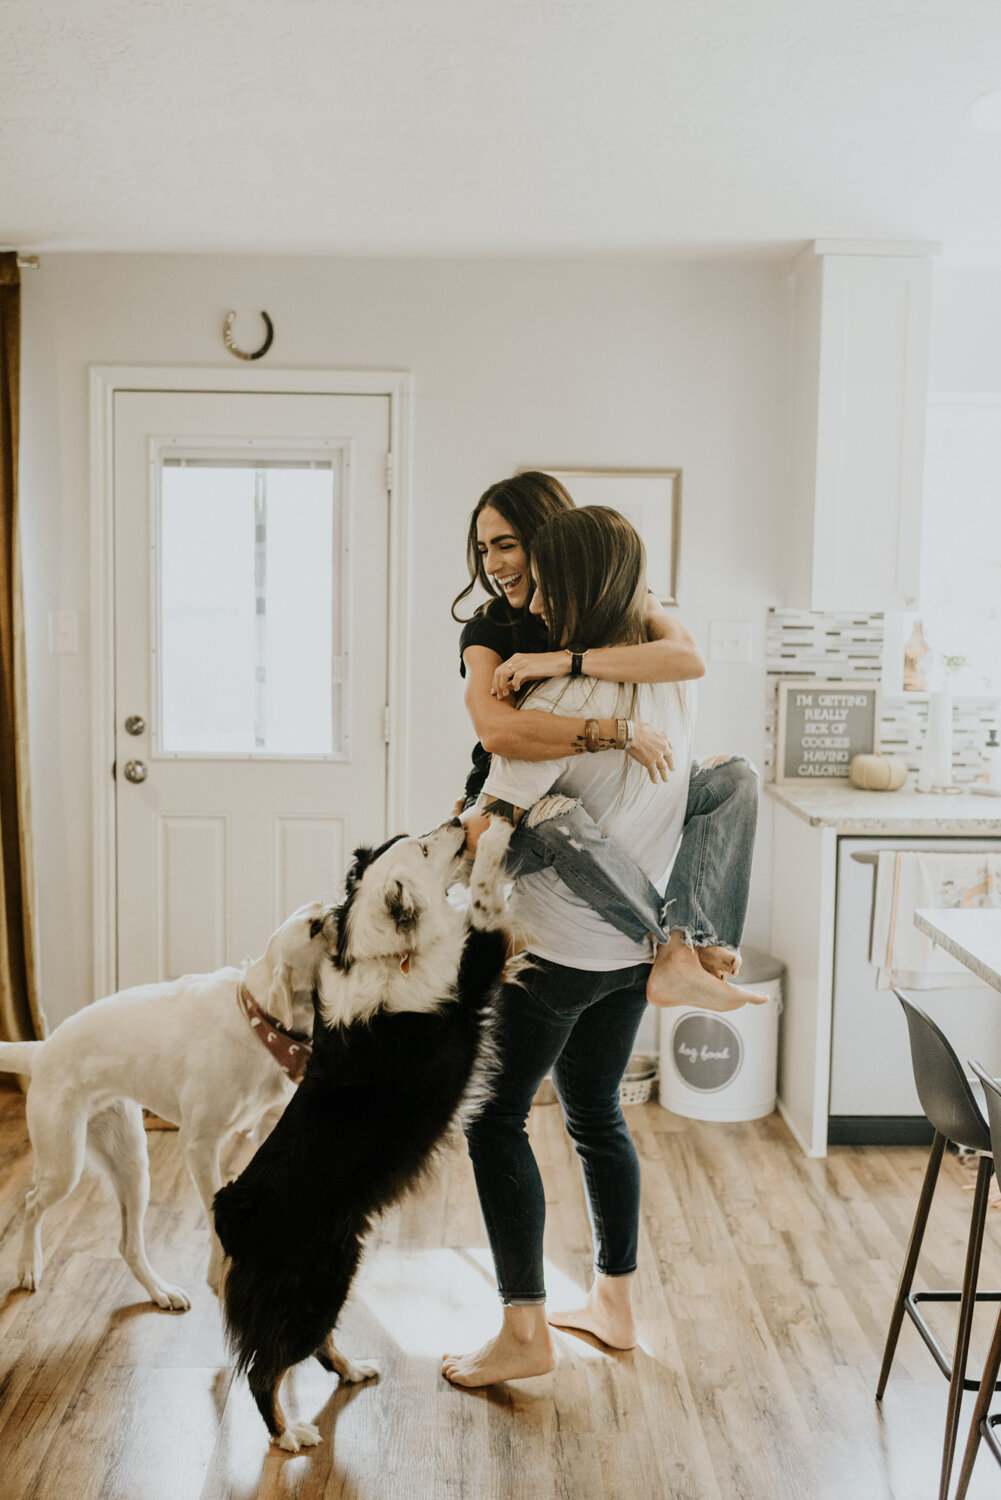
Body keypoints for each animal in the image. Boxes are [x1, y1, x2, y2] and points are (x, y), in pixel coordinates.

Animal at [0, 900, 336, 1314]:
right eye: (315, 927)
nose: (338, 904)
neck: (258, 1023)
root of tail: (40, 1050)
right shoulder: (199, 1144)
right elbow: (213, 1210)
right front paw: (218, 1272)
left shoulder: (267, 1127)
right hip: (65, 1164)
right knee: (32, 1203)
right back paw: (29, 1265)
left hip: (132, 1167)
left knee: (128, 1246)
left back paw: (161, 1291)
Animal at [217, 816, 516, 1446]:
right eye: (425, 848)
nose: (460, 819)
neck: (389, 955)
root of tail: (230, 1212)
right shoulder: (472, 972)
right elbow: (482, 902)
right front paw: (500, 836)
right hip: (316, 1285)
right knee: (264, 1368)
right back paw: (288, 1435)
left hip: (337, 1271)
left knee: (313, 1347)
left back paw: (353, 1369)